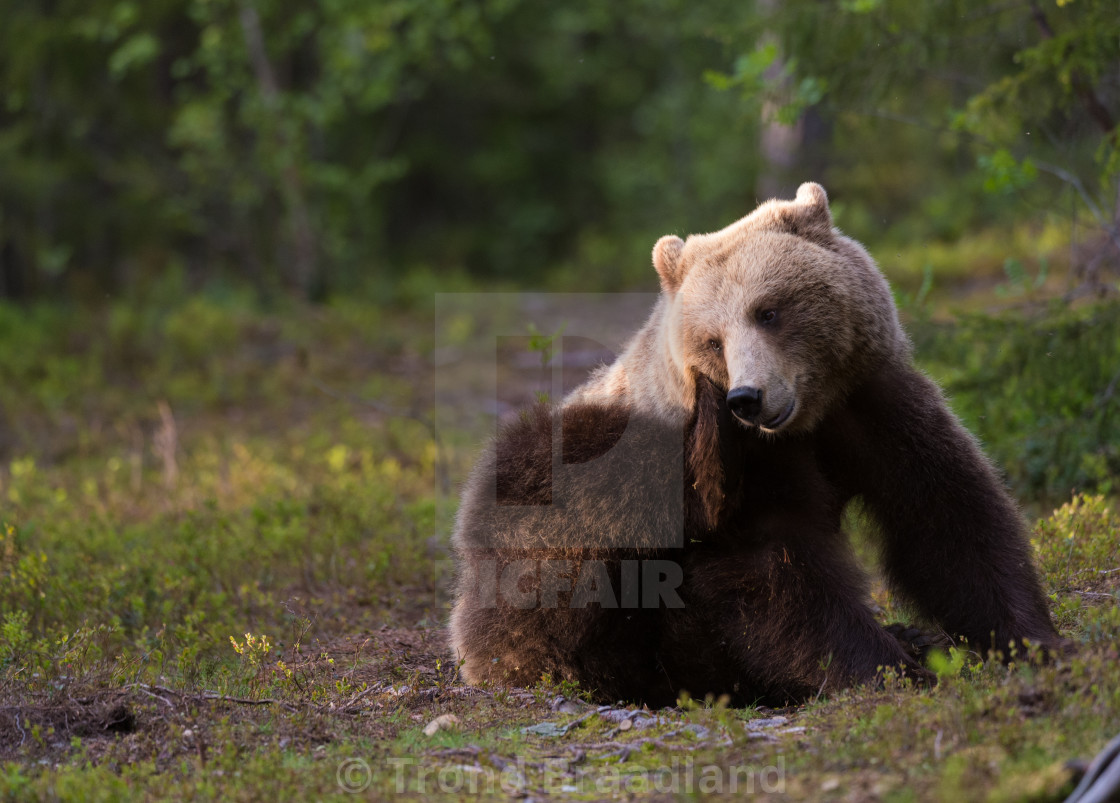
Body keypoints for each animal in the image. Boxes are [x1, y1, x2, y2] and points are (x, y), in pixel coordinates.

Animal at [443, 180, 1057, 703]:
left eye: (769, 310)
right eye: (713, 340)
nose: (747, 397)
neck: (805, 423)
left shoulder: (870, 408)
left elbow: (946, 517)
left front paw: (1028, 639)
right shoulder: (743, 465)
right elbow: (777, 568)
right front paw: (887, 669)